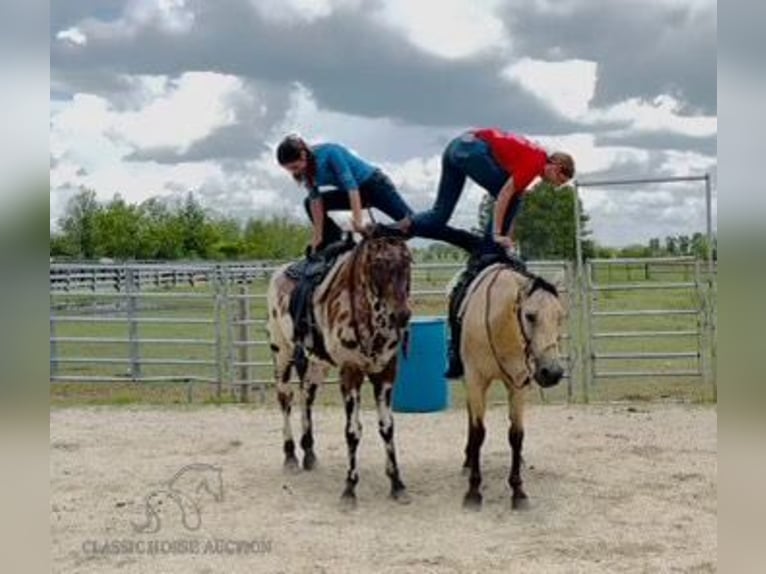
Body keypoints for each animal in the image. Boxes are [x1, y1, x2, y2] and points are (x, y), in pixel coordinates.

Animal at [268, 232, 414, 510]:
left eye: (408, 261)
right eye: (378, 264)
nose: (401, 315)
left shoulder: (386, 374)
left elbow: (387, 427)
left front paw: (397, 484)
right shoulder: (351, 373)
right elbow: (353, 431)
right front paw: (349, 489)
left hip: (317, 364)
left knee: (306, 397)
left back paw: (309, 453)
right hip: (282, 354)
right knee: (285, 398)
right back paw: (290, 456)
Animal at [456, 264, 568, 510]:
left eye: (560, 317)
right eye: (530, 316)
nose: (552, 372)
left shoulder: (517, 384)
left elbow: (516, 435)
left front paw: (518, 491)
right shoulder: (476, 380)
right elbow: (478, 432)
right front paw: (473, 491)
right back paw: (468, 460)